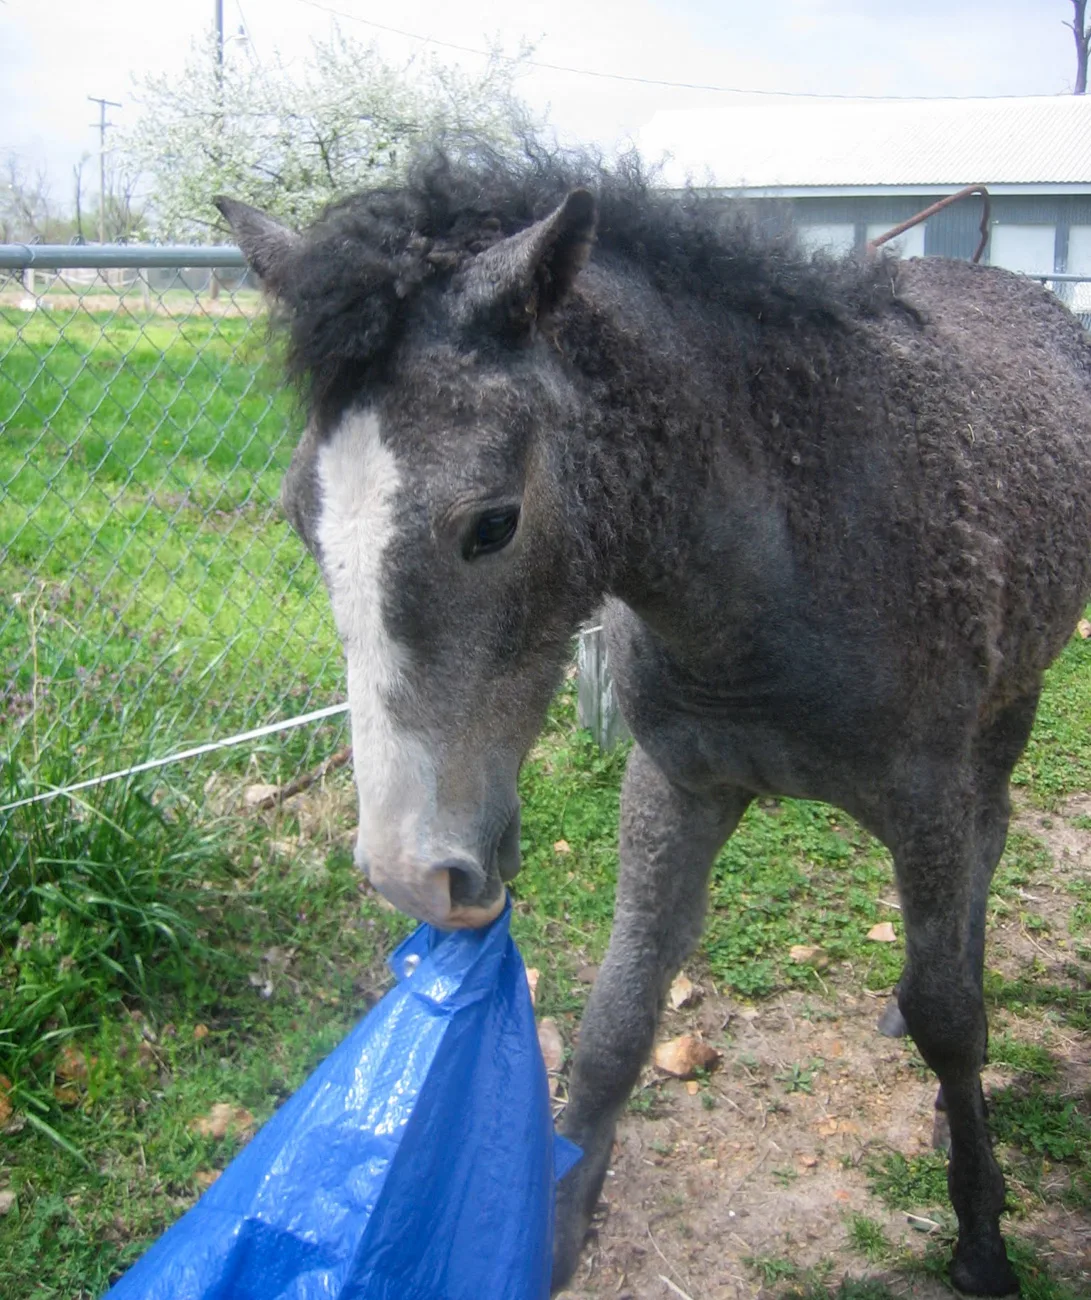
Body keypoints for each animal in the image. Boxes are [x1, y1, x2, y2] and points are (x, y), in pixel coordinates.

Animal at [217, 147, 1091, 1294]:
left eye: (491, 523)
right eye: (296, 516)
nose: (413, 875)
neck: (792, 544)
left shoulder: (925, 800)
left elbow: (949, 1019)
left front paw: (981, 1233)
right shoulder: (675, 784)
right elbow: (618, 1014)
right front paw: (553, 1233)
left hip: (1009, 702)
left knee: (990, 845)